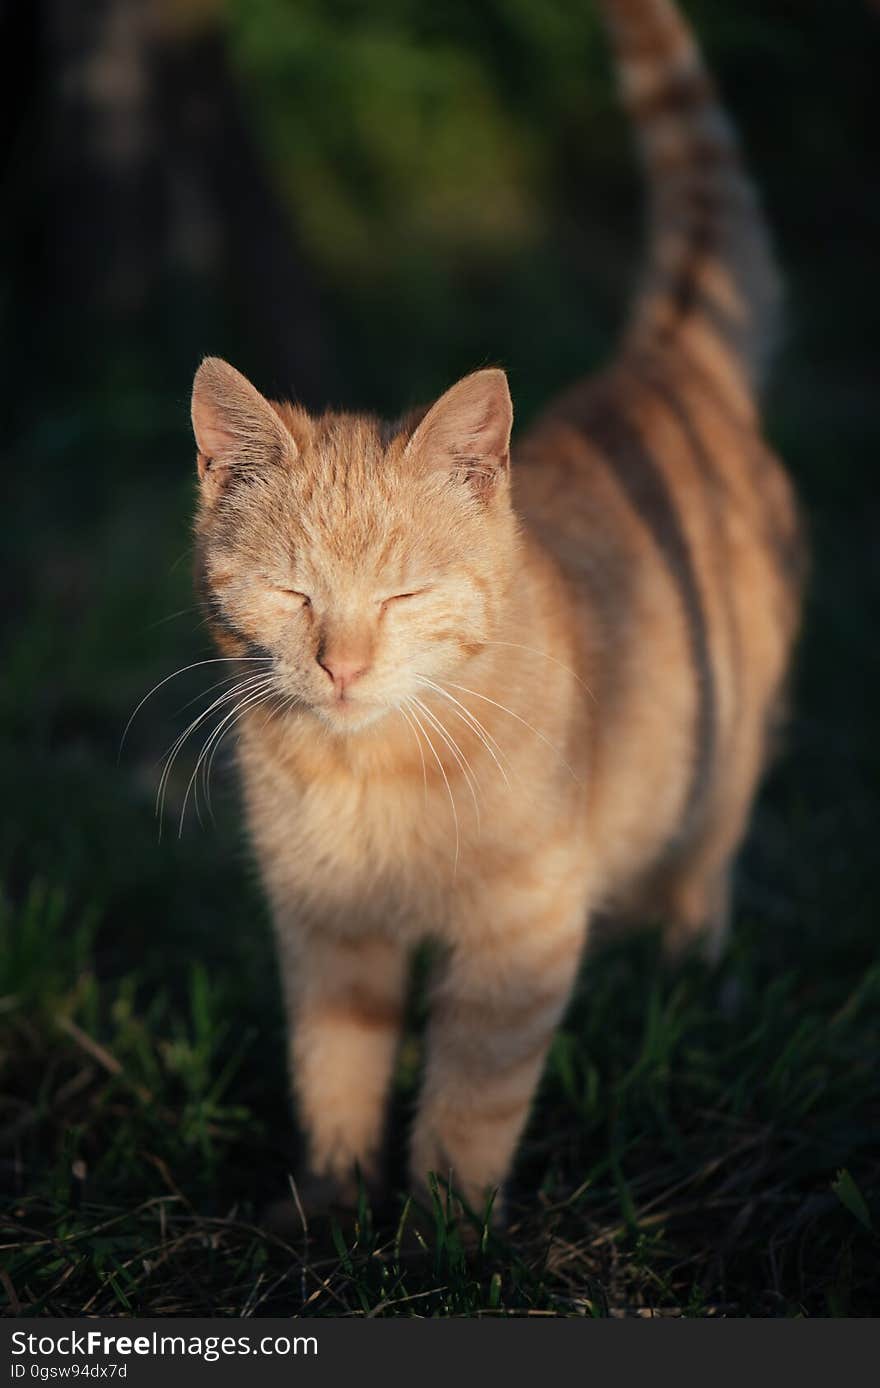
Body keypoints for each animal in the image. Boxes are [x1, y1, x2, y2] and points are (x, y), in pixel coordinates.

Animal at [187, 0, 799, 1215]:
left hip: (721, 762)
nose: (340, 665)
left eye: (404, 594)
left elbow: (471, 1097)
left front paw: (443, 1228)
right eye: (293, 592)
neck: (368, 771)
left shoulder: (518, 936)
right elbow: (334, 1066)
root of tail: (661, 370)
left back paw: (687, 973)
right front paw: (332, 1205)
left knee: (704, 868)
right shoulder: (327, 933)